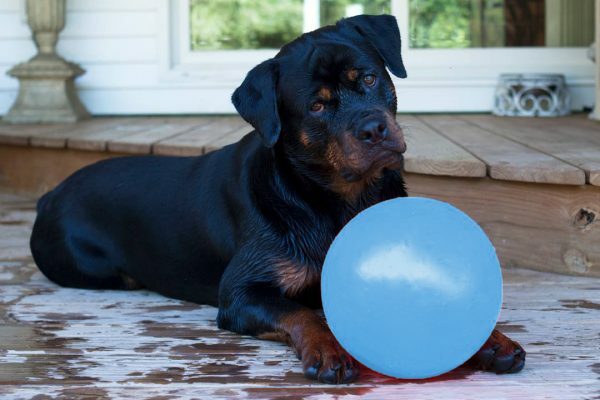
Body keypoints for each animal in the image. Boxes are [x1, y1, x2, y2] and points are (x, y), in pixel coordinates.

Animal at [29, 15, 524, 384]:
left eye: (368, 78)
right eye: (318, 107)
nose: (373, 129)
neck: (340, 200)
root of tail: (49, 195)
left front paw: (491, 341)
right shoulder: (241, 292)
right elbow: (301, 313)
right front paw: (328, 350)